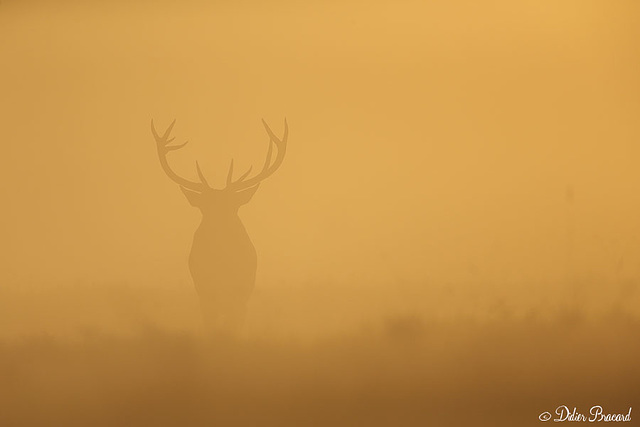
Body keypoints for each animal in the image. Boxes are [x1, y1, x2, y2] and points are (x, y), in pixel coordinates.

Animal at [151, 118, 286, 336]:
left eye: (232, 206)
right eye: (205, 207)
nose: (218, 228)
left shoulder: (242, 293)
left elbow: (235, 326)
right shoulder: (204, 292)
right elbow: (211, 326)